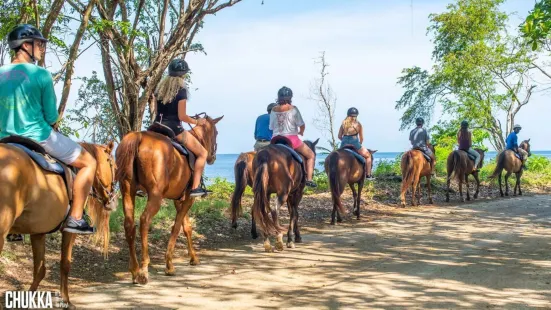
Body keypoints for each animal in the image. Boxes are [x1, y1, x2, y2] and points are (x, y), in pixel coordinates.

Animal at [0, 140, 116, 308]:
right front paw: (66, 301)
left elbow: (40, 270)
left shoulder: (38, 232)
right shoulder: (69, 232)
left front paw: (26, 300)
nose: (113, 199)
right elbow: (65, 264)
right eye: (114, 166)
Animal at [115, 115, 223, 284]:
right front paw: (169, 264)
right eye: (216, 132)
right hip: (155, 196)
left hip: (127, 192)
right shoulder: (188, 199)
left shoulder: (179, 200)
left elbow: (187, 227)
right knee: (144, 221)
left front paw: (193, 257)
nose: (212, 157)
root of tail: (139, 136)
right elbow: (177, 227)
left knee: (129, 225)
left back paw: (134, 270)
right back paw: (144, 269)